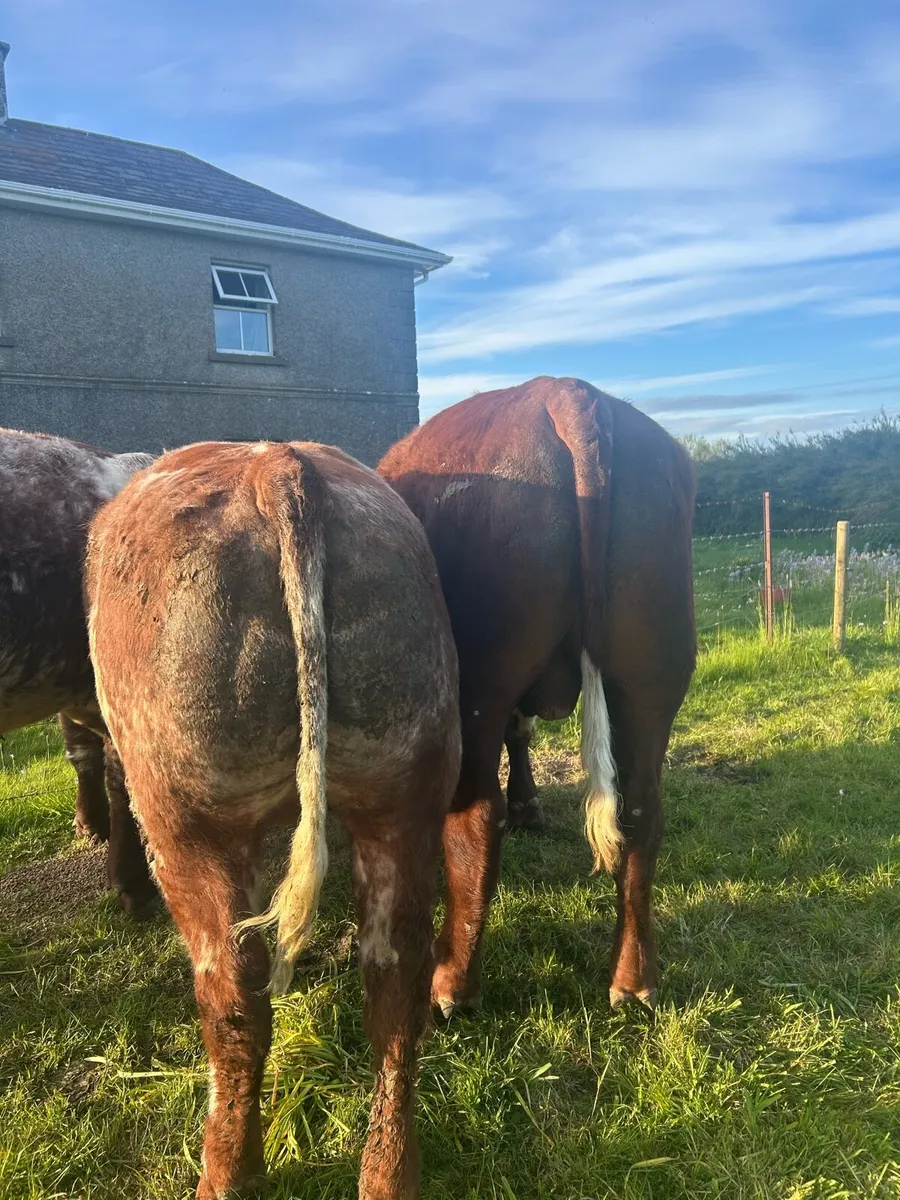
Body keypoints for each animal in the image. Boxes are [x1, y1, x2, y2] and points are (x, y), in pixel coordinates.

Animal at [86, 440, 461, 1200]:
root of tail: (276, 466)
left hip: (190, 823)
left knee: (234, 995)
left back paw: (228, 1170)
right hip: (401, 791)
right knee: (395, 979)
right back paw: (388, 1172)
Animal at [378, 376, 696, 1016]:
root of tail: (563, 392)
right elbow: (521, 733)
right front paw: (530, 804)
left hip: (475, 685)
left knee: (475, 818)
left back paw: (453, 984)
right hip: (651, 680)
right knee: (643, 811)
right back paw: (633, 979)